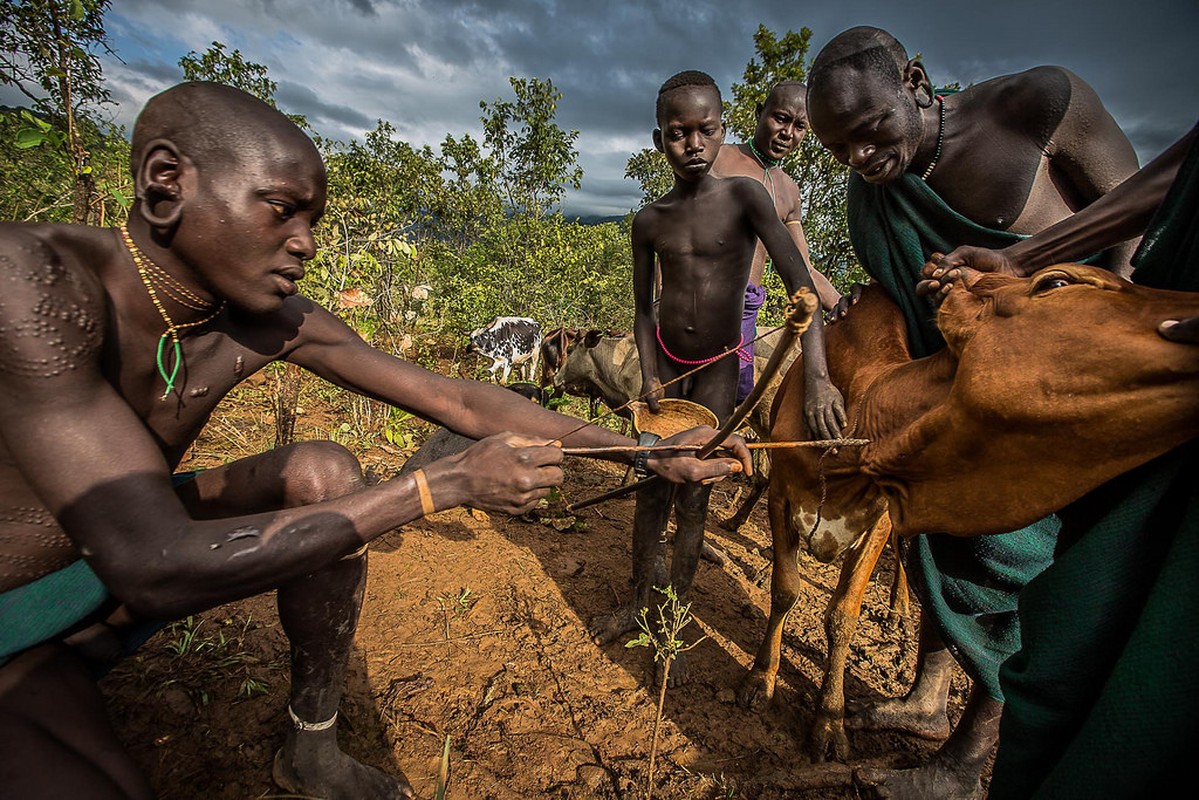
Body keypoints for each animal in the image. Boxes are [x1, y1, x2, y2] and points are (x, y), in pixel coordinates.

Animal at [748, 263, 1199, 762]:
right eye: (1058, 282)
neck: (860, 416)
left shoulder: (880, 519)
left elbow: (842, 616)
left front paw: (829, 719)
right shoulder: (782, 493)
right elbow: (785, 590)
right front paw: (761, 678)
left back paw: (899, 609)